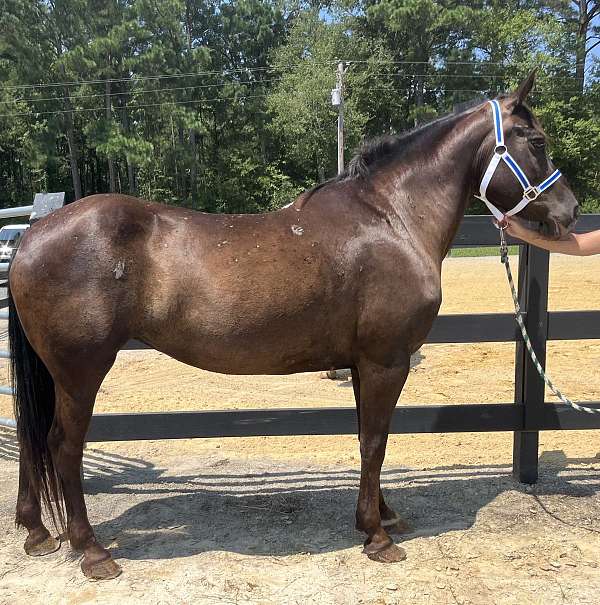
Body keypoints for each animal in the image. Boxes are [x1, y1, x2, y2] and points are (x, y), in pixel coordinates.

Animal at [9, 73, 580, 580]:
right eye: (537, 141)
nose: (571, 211)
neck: (392, 219)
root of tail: (33, 233)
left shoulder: (363, 365)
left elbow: (369, 437)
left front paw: (383, 514)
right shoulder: (386, 361)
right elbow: (375, 442)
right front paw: (377, 536)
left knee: (34, 437)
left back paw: (36, 532)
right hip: (80, 372)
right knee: (62, 445)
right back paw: (92, 551)